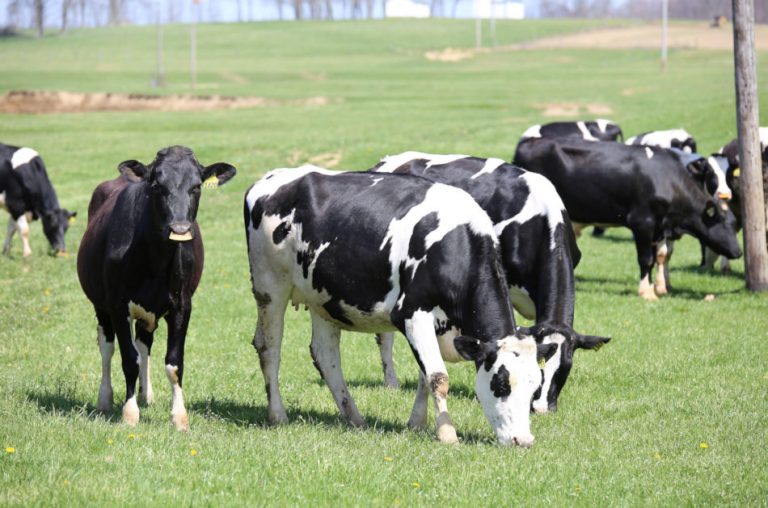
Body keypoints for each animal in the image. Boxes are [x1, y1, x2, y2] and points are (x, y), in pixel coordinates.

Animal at [77, 147, 236, 428]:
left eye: (197, 186)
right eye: (157, 185)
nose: (180, 228)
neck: (155, 259)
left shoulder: (182, 305)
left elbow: (174, 363)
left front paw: (179, 416)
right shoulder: (117, 305)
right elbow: (129, 359)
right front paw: (129, 413)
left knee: (143, 344)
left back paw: (145, 394)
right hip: (100, 306)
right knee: (107, 347)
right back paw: (105, 398)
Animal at [243, 166, 556, 444]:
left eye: (535, 387)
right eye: (501, 384)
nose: (523, 440)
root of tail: (270, 178)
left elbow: (425, 377)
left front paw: (417, 423)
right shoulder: (413, 314)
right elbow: (438, 377)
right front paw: (447, 434)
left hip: (323, 298)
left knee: (326, 356)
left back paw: (353, 417)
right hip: (270, 285)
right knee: (269, 348)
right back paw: (278, 415)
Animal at [512, 137, 740, 300]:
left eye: (734, 224)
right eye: (720, 222)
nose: (738, 252)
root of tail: (528, 141)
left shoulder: (659, 227)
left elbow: (660, 256)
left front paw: (659, 287)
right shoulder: (643, 224)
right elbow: (646, 259)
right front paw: (646, 292)